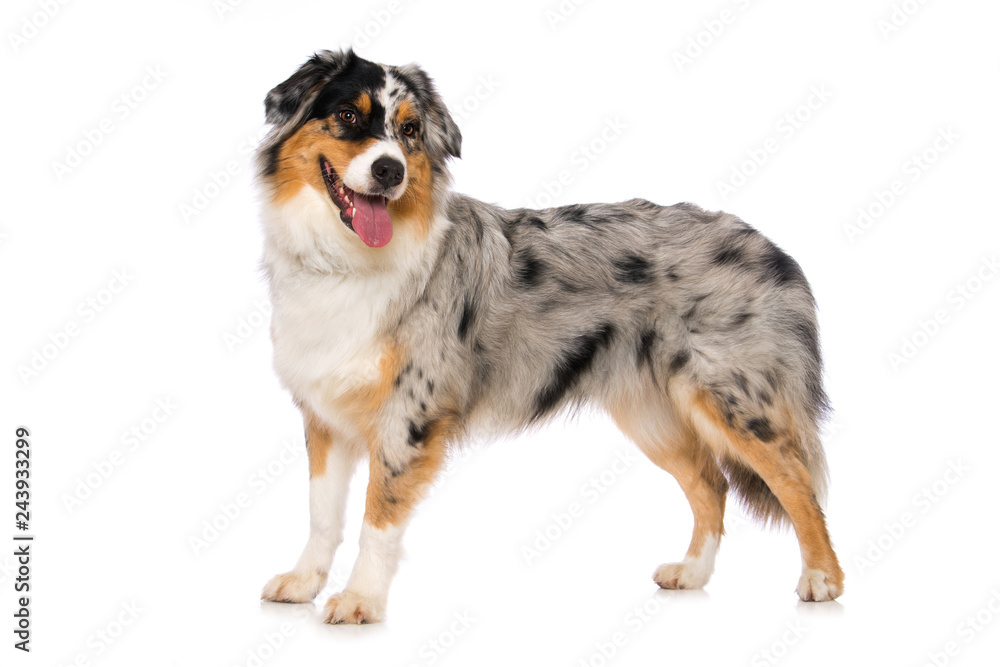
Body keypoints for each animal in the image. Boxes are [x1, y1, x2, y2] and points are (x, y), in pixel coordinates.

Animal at [256, 49, 844, 624]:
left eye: (410, 131)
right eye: (347, 115)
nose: (389, 170)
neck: (344, 262)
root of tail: (772, 248)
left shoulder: (410, 415)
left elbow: (378, 515)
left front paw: (360, 599)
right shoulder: (323, 414)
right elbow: (321, 514)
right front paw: (305, 582)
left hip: (734, 398)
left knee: (798, 482)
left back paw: (822, 579)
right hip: (651, 413)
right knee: (711, 483)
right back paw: (693, 573)